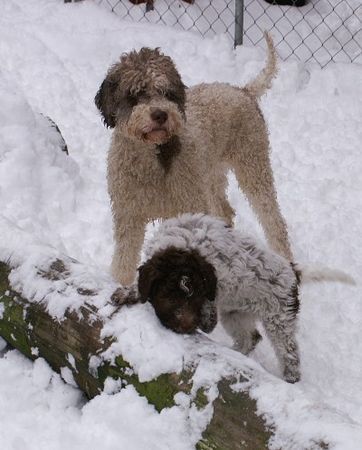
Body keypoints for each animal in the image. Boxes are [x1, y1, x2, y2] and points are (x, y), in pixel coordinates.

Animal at [136, 214, 354, 384]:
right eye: (169, 295)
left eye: (195, 298)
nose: (185, 327)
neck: (184, 246)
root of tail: (293, 273)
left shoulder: (215, 281)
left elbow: (209, 303)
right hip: (235, 314)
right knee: (250, 338)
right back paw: (235, 353)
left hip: (279, 319)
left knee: (289, 353)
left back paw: (290, 378)